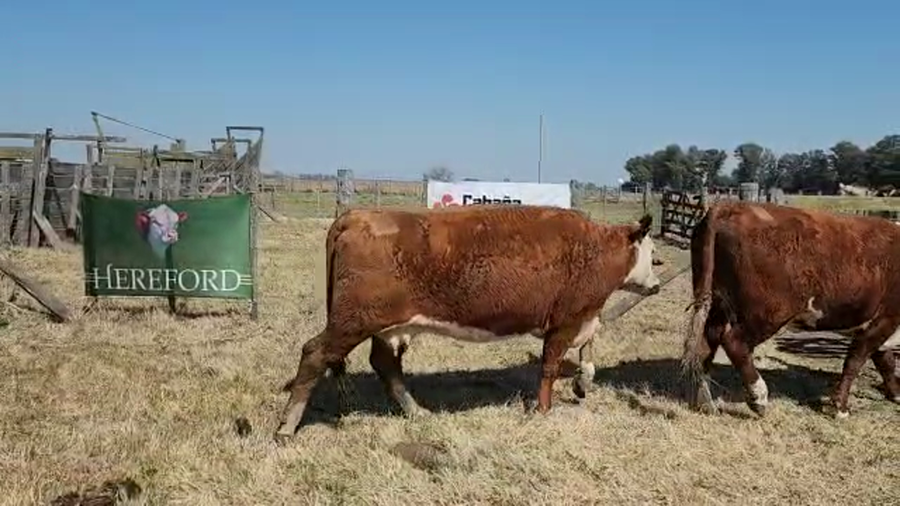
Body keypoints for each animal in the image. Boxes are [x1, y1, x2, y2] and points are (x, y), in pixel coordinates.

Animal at [274, 205, 663, 441]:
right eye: (654, 254)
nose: (657, 285)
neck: (596, 248)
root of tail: (355, 215)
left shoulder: (584, 316)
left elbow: (588, 355)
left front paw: (582, 384)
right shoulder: (565, 321)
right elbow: (550, 366)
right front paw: (543, 411)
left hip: (384, 327)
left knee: (384, 365)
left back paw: (417, 412)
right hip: (352, 320)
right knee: (314, 353)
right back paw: (287, 426)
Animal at [681, 201, 900, 419]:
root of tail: (729, 206)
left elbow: (885, 361)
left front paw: (896, 394)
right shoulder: (885, 319)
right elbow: (855, 361)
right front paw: (840, 407)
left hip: (717, 303)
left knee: (706, 344)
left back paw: (706, 404)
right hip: (769, 312)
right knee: (734, 342)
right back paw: (758, 398)